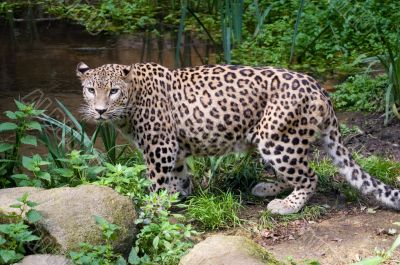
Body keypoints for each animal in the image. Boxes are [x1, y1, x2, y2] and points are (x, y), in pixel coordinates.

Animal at [76, 60, 400, 213]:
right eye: (91, 90)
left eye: (113, 91)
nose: (100, 110)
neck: (130, 103)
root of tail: (318, 87)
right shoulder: (175, 148)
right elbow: (178, 177)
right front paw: (178, 198)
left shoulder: (160, 146)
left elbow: (156, 182)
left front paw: (154, 209)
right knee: (294, 173)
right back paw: (266, 188)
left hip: (276, 138)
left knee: (309, 176)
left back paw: (286, 206)